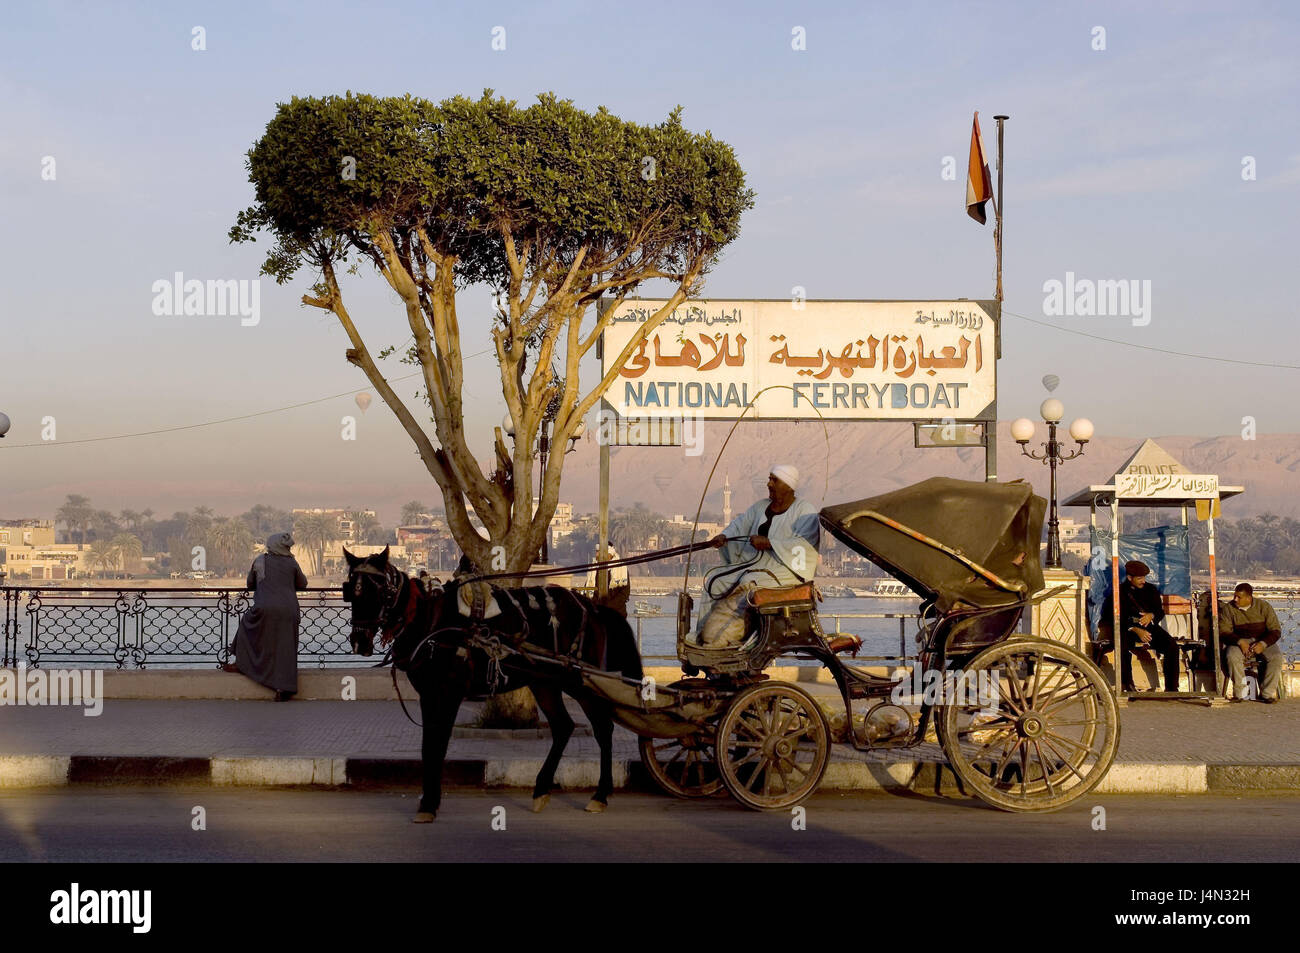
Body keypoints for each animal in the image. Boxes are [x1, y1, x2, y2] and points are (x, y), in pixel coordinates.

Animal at [343, 546, 642, 821]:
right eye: (350, 591)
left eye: (381, 592)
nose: (359, 641)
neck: (430, 621)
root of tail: (594, 608)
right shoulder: (428, 693)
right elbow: (428, 745)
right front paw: (429, 800)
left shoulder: (450, 692)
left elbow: (438, 745)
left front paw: (429, 803)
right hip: (544, 681)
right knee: (563, 726)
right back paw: (541, 790)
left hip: (578, 678)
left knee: (602, 728)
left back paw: (600, 795)